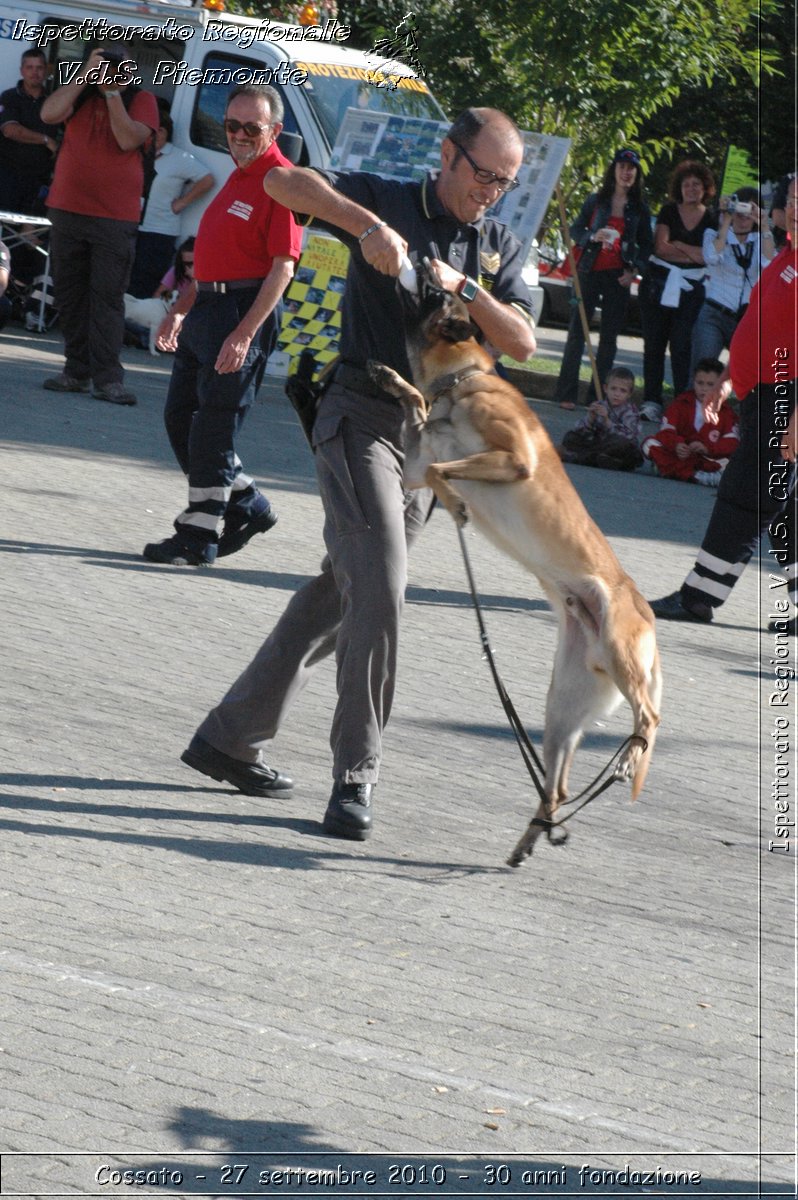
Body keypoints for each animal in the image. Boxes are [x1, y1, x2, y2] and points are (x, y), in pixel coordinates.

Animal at [369, 276, 662, 868]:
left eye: (435, 292)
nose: (421, 265)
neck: (464, 381)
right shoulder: (414, 465)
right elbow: (423, 429)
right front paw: (394, 382)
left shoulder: (513, 457)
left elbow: (444, 467)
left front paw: (456, 502)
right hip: (562, 708)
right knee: (559, 788)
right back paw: (530, 838)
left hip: (621, 654)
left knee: (649, 720)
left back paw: (628, 757)